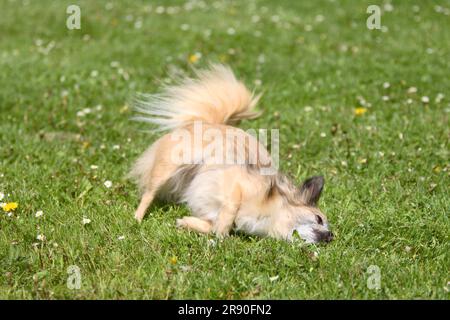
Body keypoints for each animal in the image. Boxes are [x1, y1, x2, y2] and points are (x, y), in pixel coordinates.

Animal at [128, 64, 332, 242]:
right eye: (319, 219)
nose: (331, 236)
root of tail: (210, 122)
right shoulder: (237, 182)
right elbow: (231, 210)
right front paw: (221, 235)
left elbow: (210, 225)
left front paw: (187, 223)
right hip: (168, 168)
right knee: (148, 194)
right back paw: (137, 219)